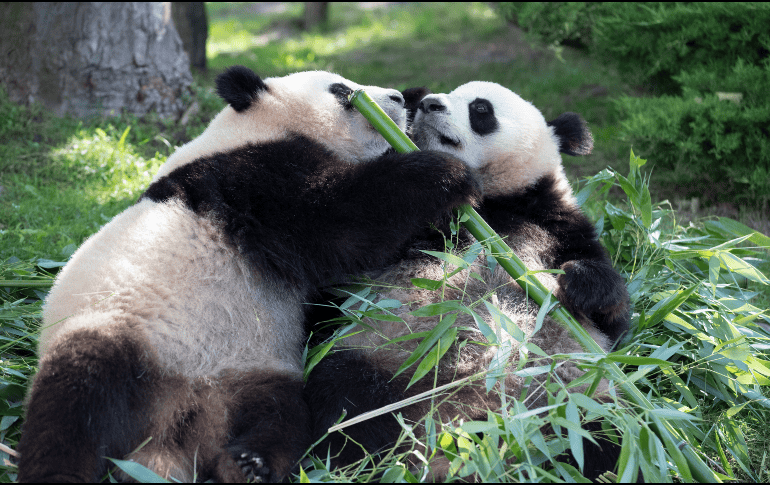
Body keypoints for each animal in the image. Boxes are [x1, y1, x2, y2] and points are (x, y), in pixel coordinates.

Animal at [15, 66, 482, 483]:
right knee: (75, 404)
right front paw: (447, 173)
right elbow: (335, 218)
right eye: (341, 90)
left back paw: (248, 465)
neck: (252, 127)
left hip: (257, 371)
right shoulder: (242, 176)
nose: (400, 99)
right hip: (122, 331)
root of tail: (172, 435)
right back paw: (59, 471)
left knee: (279, 418)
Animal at [304, 81, 631, 480]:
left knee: (609, 440)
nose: (429, 104)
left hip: (574, 400)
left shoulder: (558, 226)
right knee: (343, 408)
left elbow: (615, 323)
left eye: (481, 109)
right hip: (379, 359)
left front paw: (581, 282)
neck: (489, 200)